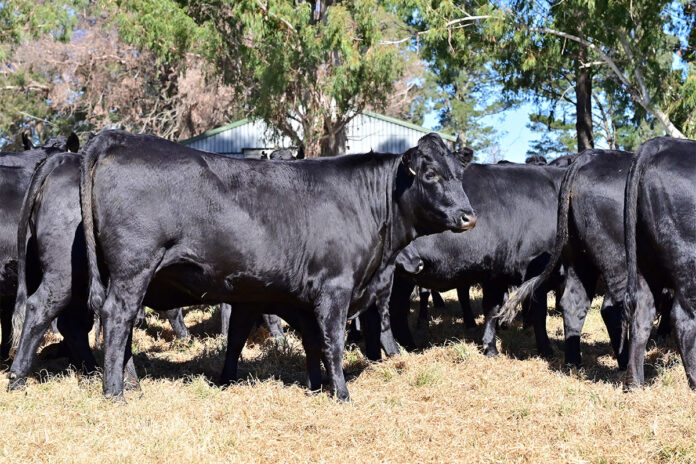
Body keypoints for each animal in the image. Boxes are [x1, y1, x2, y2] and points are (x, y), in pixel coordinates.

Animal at [623, 137, 696, 389]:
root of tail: (657, 144)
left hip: (644, 265)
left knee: (641, 317)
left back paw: (635, 385)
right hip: (688, 260)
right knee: (683, 318)